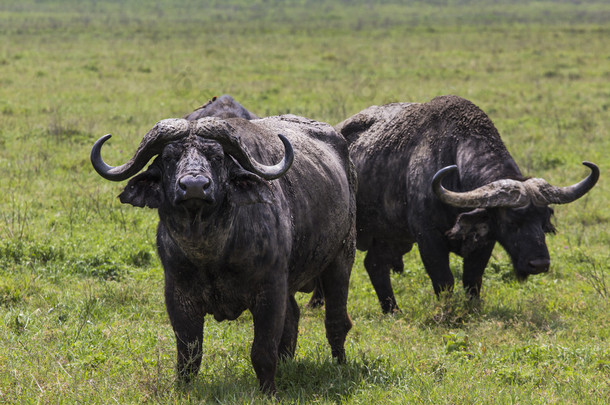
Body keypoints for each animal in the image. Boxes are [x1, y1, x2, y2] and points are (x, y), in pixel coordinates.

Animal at [91, 113, 356, 392]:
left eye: (217, 157)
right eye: (169, 157)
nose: (194, 186)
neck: (212, 253)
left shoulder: (270, 290)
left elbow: (262, 351)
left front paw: (268, 391)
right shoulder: (177, 296)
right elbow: (189, 354)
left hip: (342, 255)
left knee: (336, 320)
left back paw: (339, 365)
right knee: (293, 317)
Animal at [334, 94, 596, 312]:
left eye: (543, 222)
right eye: (512, 222)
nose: (539, 263)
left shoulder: (485, 241)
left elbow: (472, 279)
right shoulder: (427, 237)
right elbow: (444, 281)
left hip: (392, 236)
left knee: (375, 264)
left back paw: (392, 311)